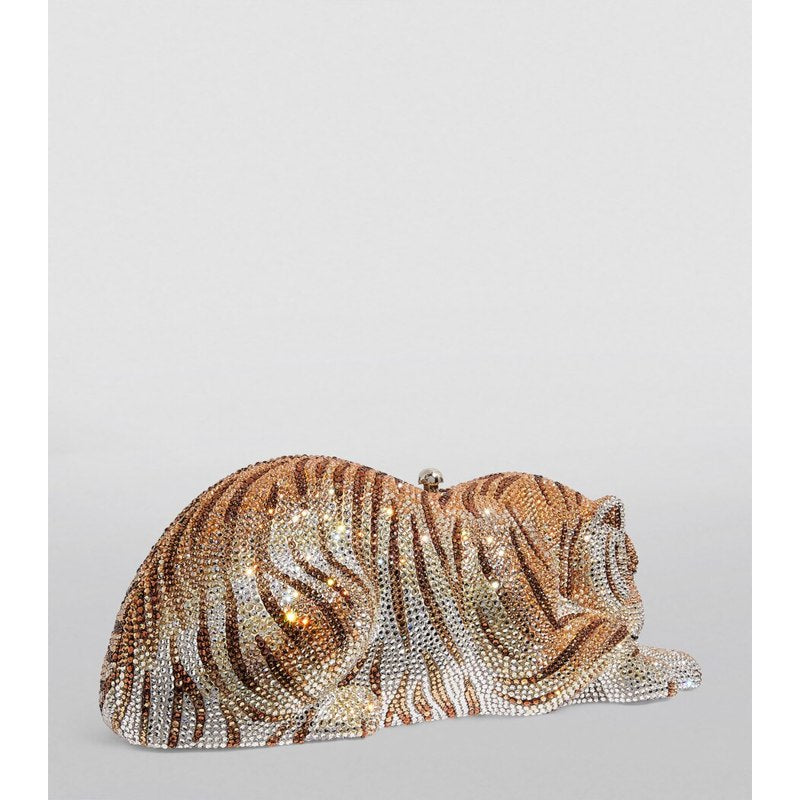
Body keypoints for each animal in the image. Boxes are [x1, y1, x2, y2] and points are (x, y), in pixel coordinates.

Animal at [99, 455, 701, 748]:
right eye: (634, 566)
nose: (644, 607)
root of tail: (121, 673)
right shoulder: (530, 650)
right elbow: (604, 646)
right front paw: (671, 663)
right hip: (331, 594)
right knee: (264, 717)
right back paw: (361, 704)